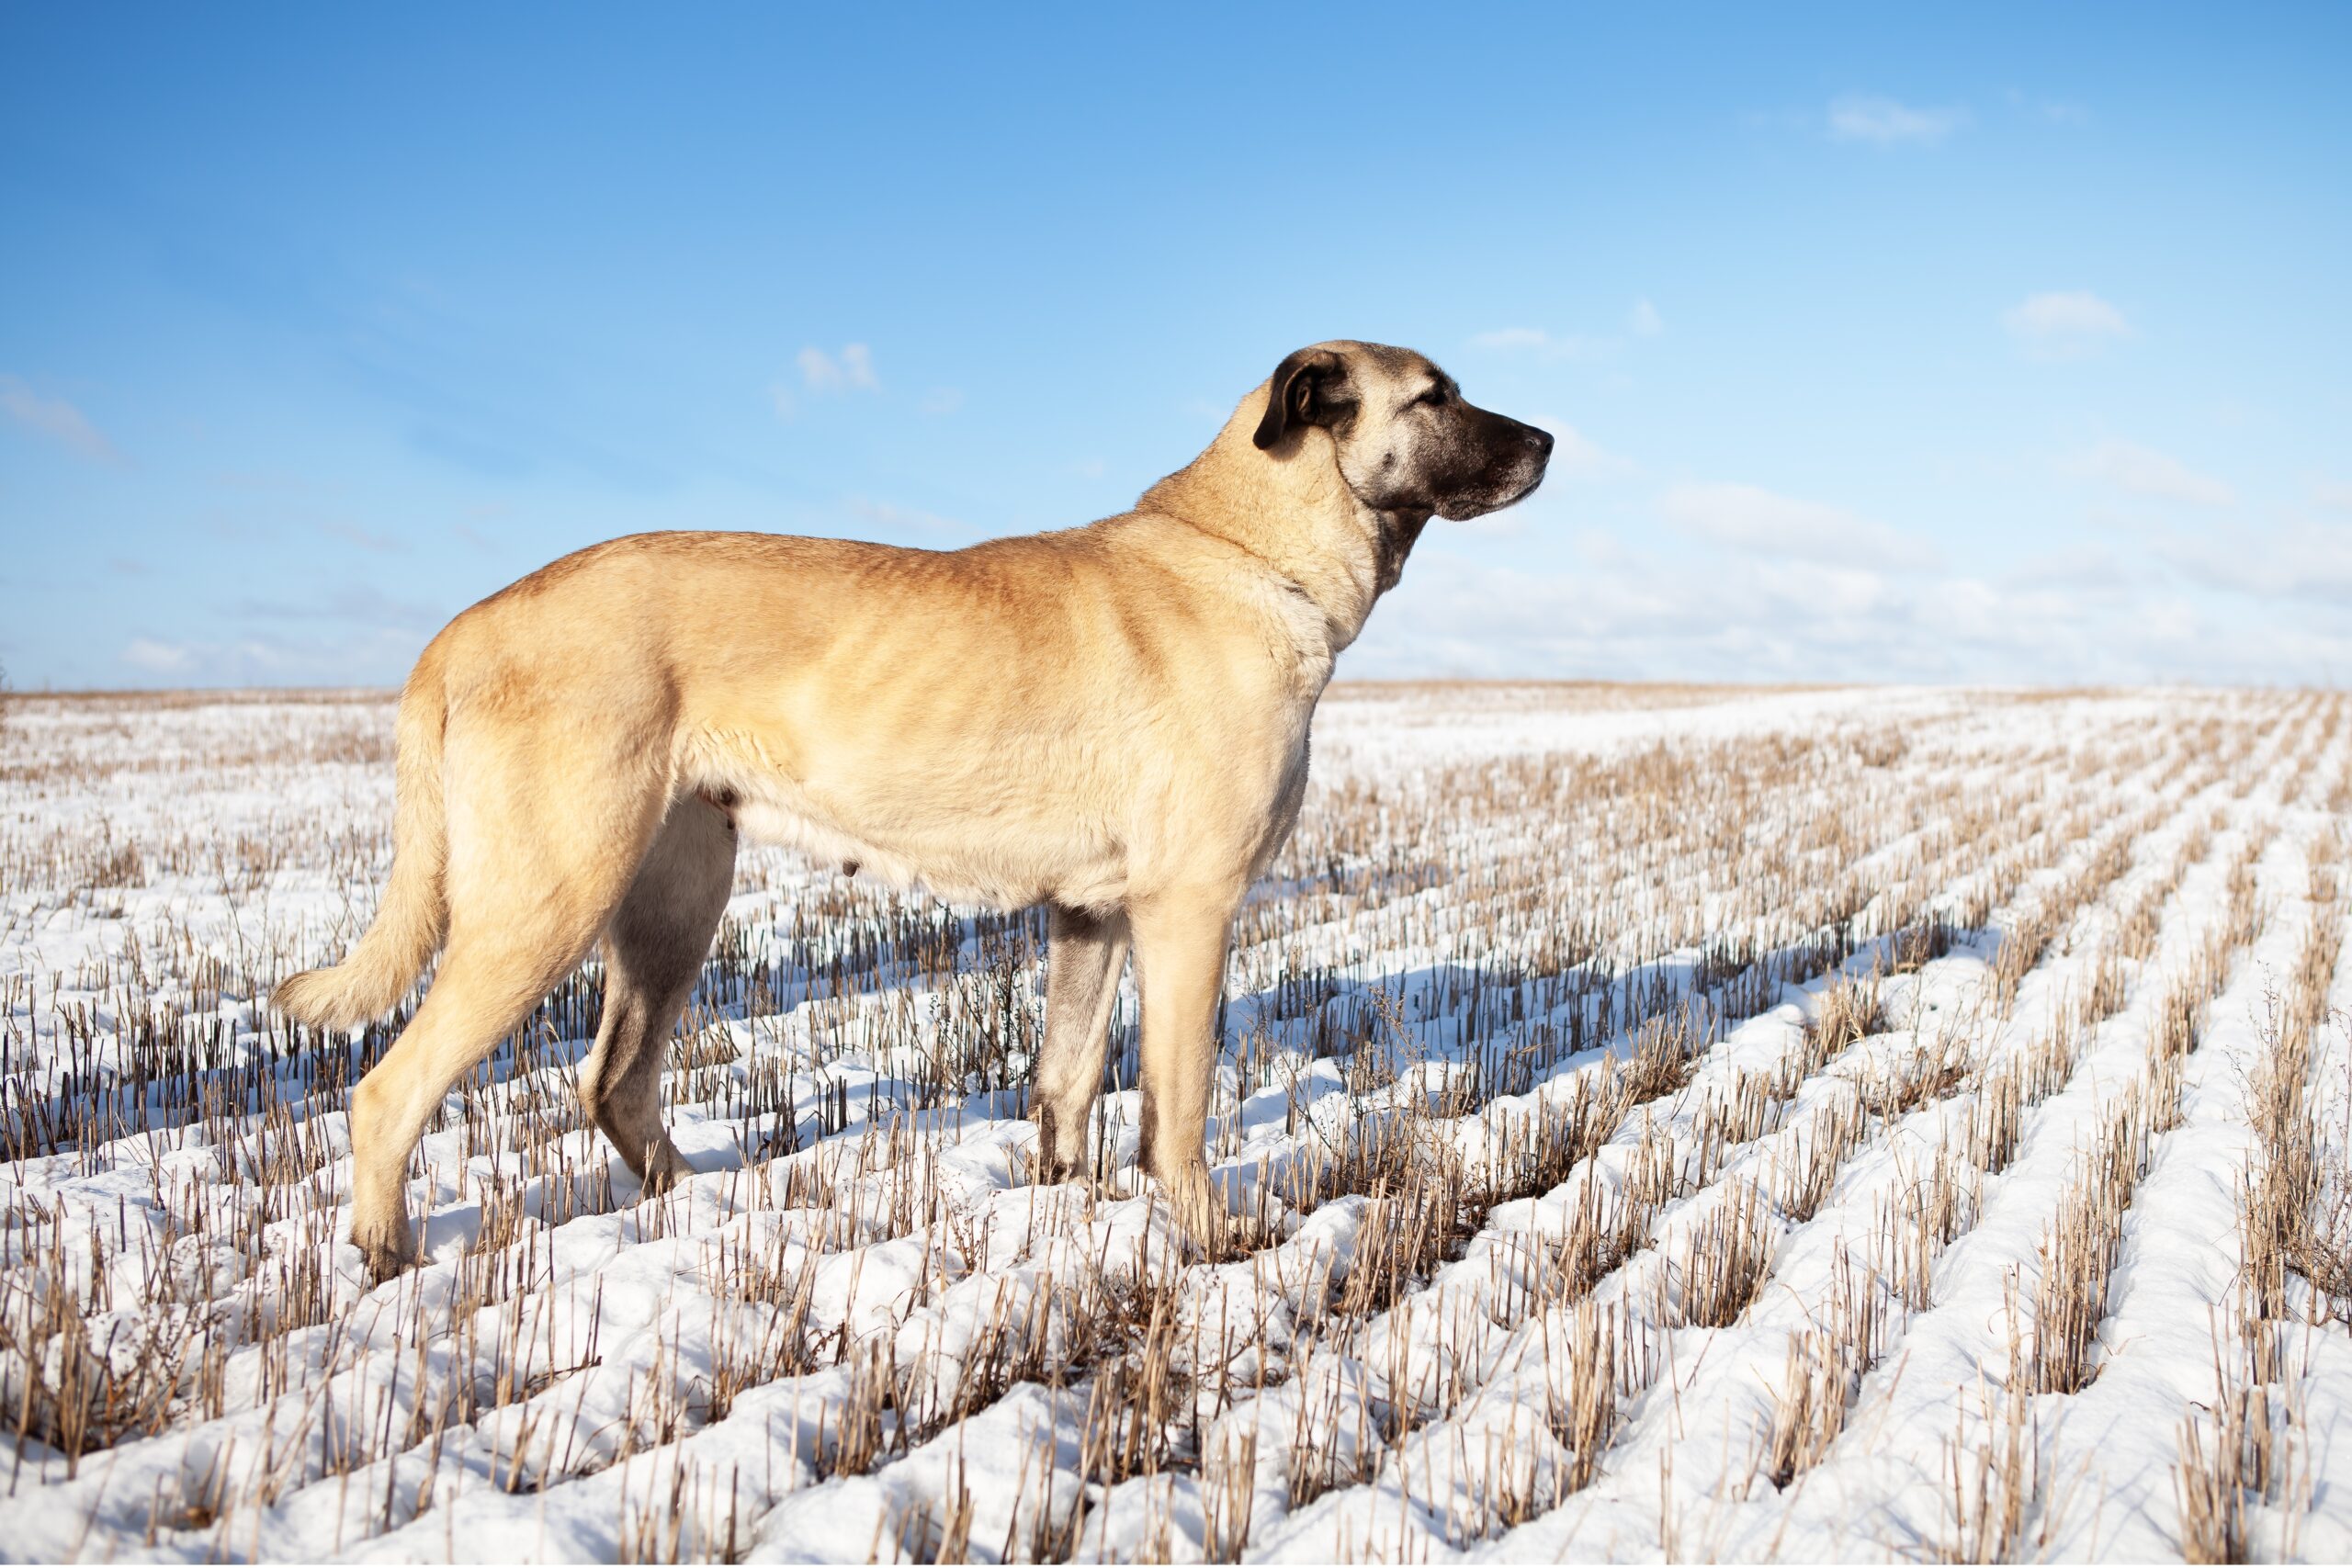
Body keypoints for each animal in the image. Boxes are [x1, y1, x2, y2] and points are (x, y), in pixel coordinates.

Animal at [275, 341, 1552, 1279]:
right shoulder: (1188, 909)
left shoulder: (1093, 914)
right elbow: (1178, 1107)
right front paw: (1208, 1242)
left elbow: (1065, 1083)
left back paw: (699, 1220)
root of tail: (460, 627)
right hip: (547, 901)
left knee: (614, 1082)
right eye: (1435, 396)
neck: (1249, 547)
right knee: (390, 1090)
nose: (1548, 439)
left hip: (673, 901)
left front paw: (1056, 1217)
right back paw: (389, 1267)